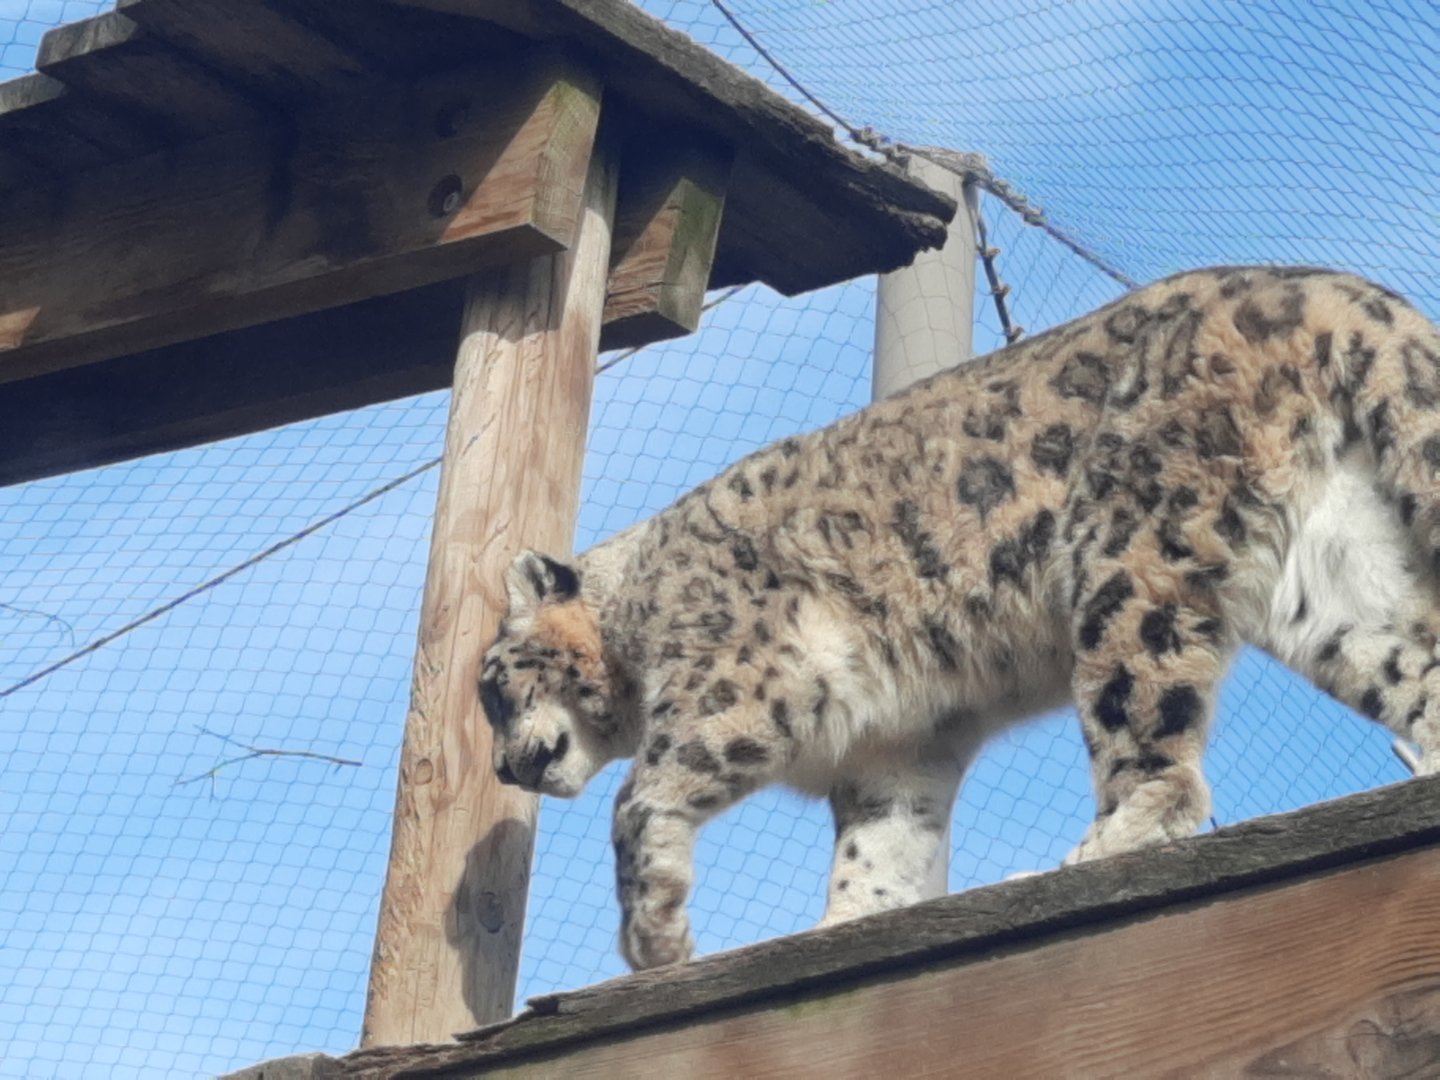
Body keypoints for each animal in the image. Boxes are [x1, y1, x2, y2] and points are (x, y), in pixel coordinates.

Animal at [479, 265, 1440, 971]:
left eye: (490, 688)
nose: (499, 768)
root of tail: (1328, 287)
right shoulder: (895, 751)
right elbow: (876, 855)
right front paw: (841, 929)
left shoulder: (734, 686)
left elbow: (638, 799)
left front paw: (657, 943)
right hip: (1340, 587)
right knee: (1415, 670)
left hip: (1127, 562)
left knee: (1153, 739)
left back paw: (1092, 850)